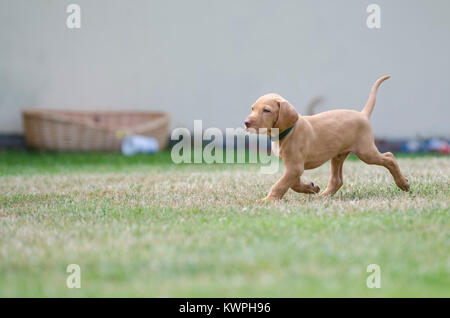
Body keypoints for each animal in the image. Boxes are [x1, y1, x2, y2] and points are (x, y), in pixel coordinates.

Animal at [246, 76, 412, 201]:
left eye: (266, 110)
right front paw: (311, 188)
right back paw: (322, 197)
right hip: (338, 155)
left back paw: (403, 183)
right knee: (336, 181)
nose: (246, 122)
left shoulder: (295, 167)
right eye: (252, 108)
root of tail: (362, 114)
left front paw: (268, 200)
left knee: (389, 157)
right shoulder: (292, 167)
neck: (287, 132)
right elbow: (292, 183)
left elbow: (281, 184)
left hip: (366, 152)